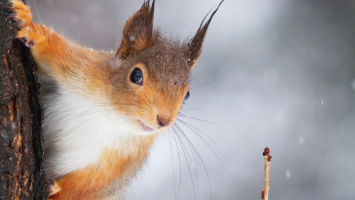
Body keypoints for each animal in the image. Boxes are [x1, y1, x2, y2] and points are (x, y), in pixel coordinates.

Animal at [3, 0, 222, 199]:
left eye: (187, 95)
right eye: (136, 75)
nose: (163, 120)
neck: (112, 116)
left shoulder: (121, 165)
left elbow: (87, 187)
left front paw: (55, 189)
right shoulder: (84, 68)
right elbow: (55, 50)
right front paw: (27, 23)